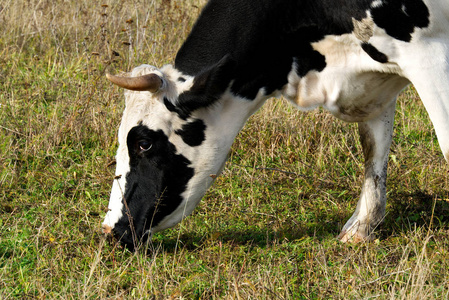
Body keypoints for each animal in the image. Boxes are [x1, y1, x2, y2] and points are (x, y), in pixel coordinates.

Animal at [101, 0, 448, 250]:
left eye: (144, 143)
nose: (110, 231)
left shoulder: (427, 51)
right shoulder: (373, 83)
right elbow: (374, 148)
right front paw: (362, 227)